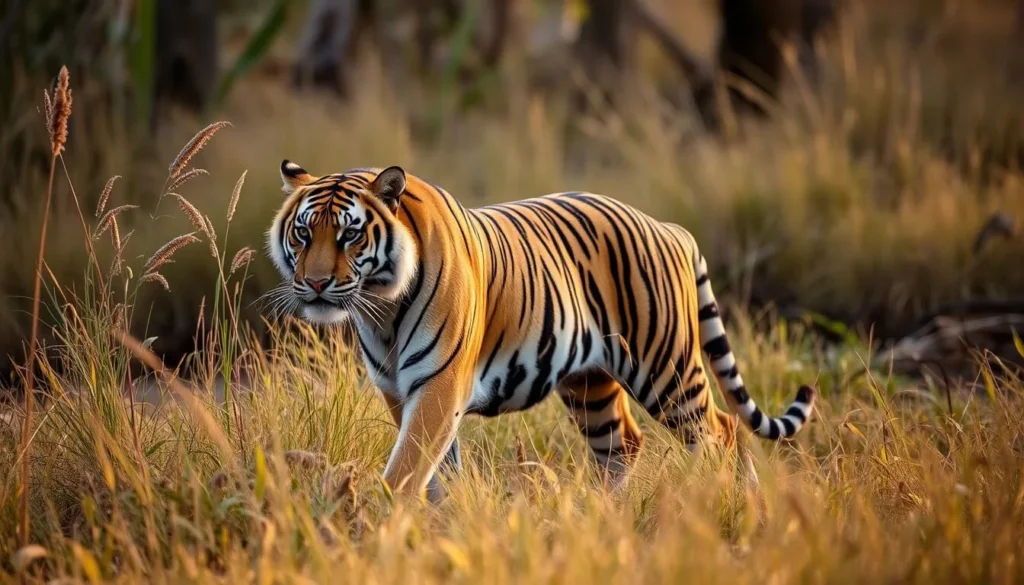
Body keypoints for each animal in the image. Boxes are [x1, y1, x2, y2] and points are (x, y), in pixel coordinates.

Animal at [266, 160, 816, 502]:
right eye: (303, 233)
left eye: (350, 235)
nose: (315, 283)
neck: (381, 309)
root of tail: (668, 227)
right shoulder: (400, 391)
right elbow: (439, 470)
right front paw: (447, 521)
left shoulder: (439, 385)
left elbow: (407, 468)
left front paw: (386, 521)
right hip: (590, 383)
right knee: (623, 444)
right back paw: (605, 519)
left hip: (666, 367)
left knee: (721, 430)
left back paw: (732, 504)